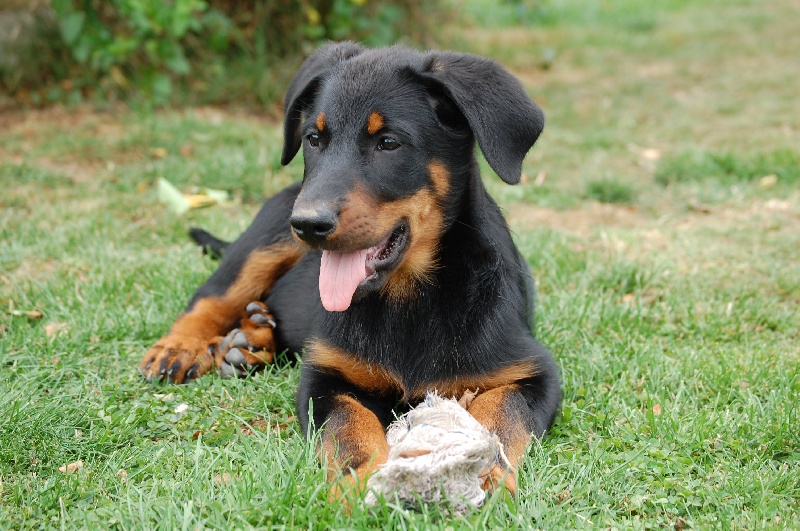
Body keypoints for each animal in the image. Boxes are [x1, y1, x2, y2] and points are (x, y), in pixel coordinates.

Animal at [139, 41, 564, 498]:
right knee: (211, 297)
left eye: (388, 142)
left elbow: (500, 414)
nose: (308, 224)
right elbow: (349, 425)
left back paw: (250, 341)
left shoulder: (533, 371)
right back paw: (182, 347)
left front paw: (484, 472)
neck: (408, 300)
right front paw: (359, 482)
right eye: (313, 138)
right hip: (263, 241)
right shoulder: (325, 375)